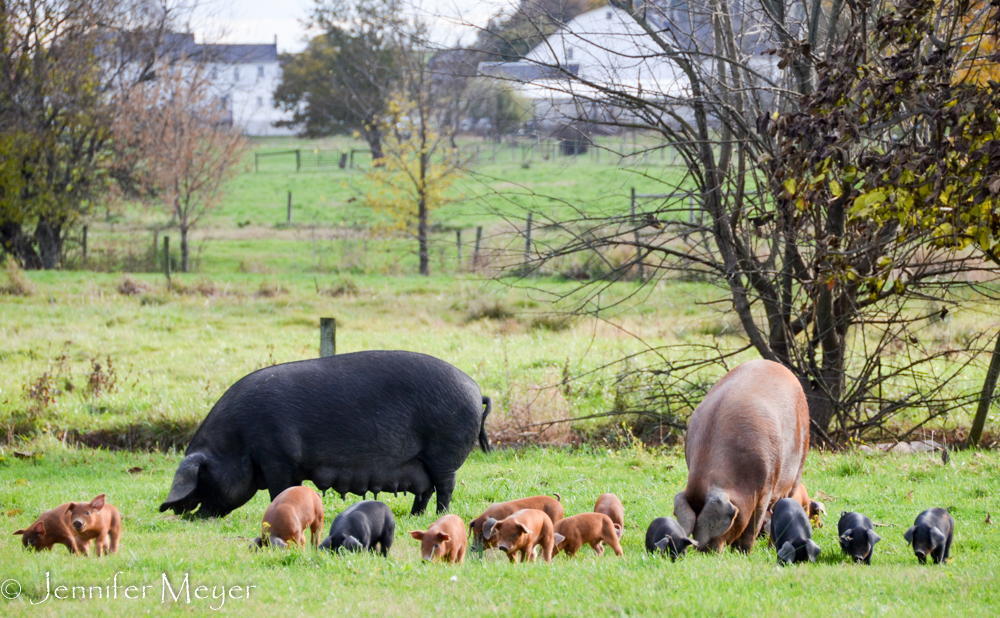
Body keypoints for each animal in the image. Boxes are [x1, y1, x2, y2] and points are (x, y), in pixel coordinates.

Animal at [160, 352, 492, 516]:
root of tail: (476, 389)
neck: (237, 442)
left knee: (444, 488)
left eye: (204, 476)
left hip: (444, 452)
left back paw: (437, 516)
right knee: (426, 489)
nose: (177, 511)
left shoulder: (277, 457)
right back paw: (415, 516)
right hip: (423, 461)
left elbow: (278, 490)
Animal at [668, 358, 808, 552]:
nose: (706, 551)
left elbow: (754, 524)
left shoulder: (765, 487)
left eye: (731, 519)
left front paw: (744, 552)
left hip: (799, 462)